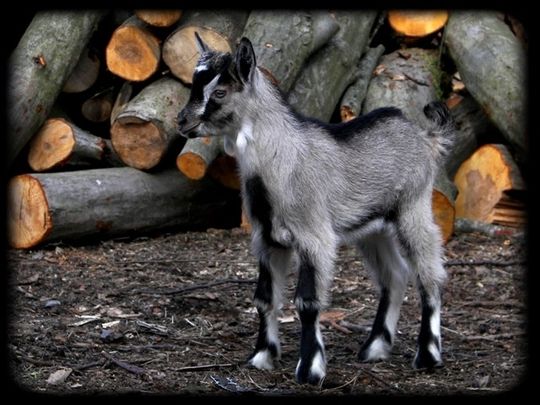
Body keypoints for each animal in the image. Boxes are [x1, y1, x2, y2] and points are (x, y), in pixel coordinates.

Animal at [177, 34, 455, 385]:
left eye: (219, 91)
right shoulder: (267, 239)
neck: (281, 161)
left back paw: (428, 355)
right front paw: (262, 356)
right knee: (395, 275)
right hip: (372, 229)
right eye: (194, 83)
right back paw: (375, 348)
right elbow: (264, 298)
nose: (182, 121)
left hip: (413, 209)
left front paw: (310, 369)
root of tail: (426, 138)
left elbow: (308, 302)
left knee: (429, 275)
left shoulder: (314, 236)